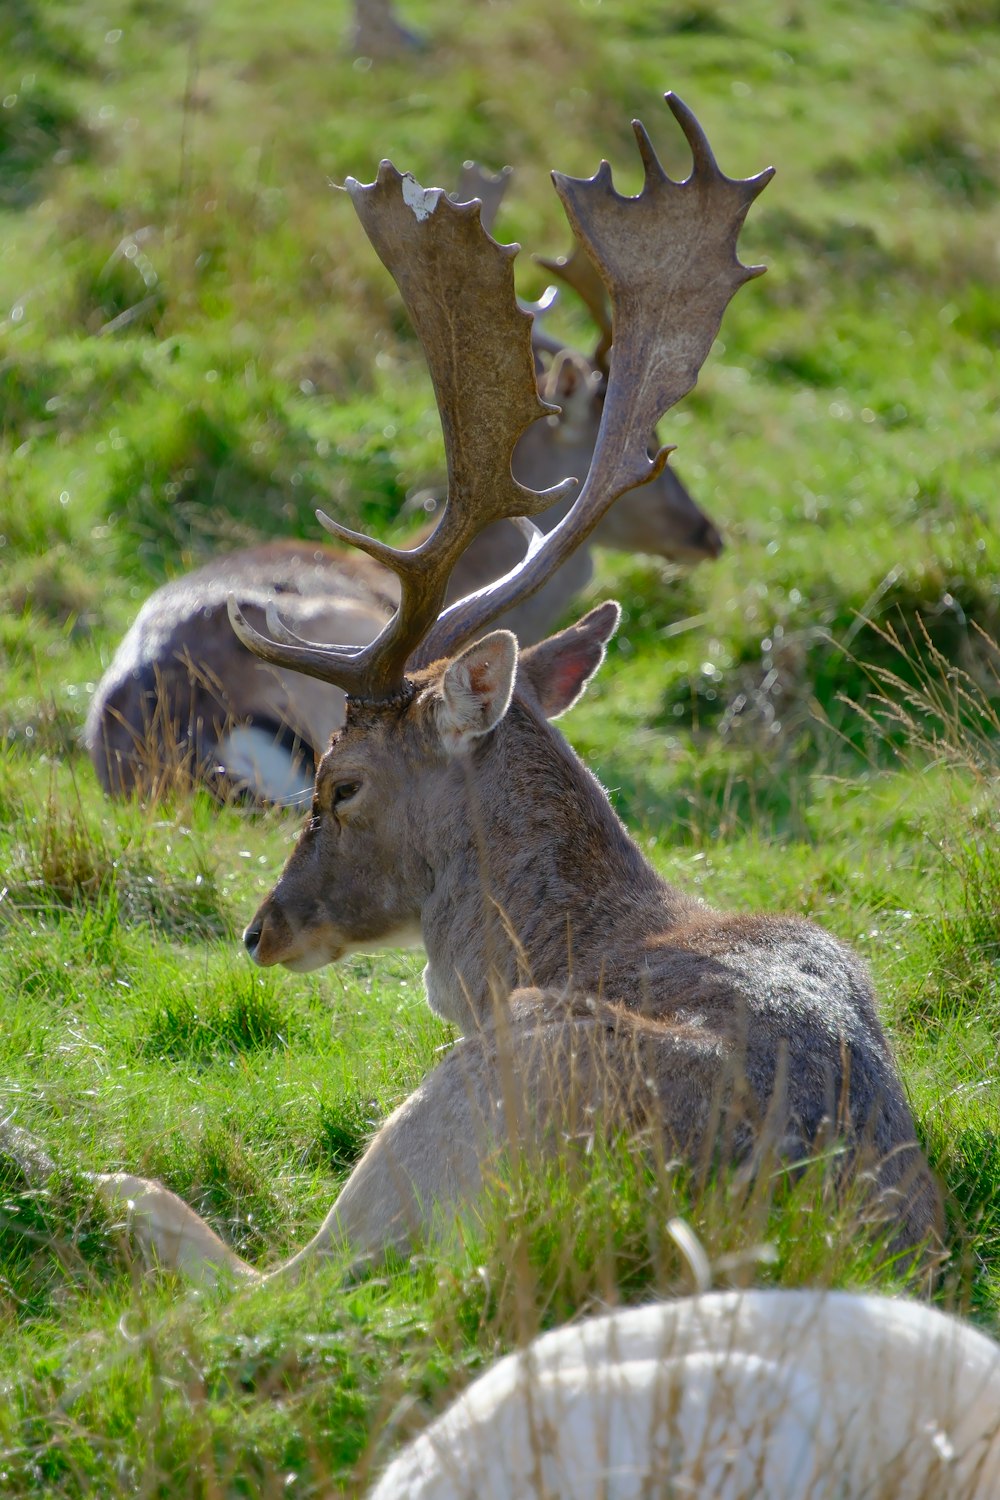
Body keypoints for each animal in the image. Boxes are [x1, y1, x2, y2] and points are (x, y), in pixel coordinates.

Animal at [89, 93, 941, 1290]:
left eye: (342, 786)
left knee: (273, 1277)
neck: (535, 949)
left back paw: (119, 1189)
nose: (261, 930)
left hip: (467, 1103)